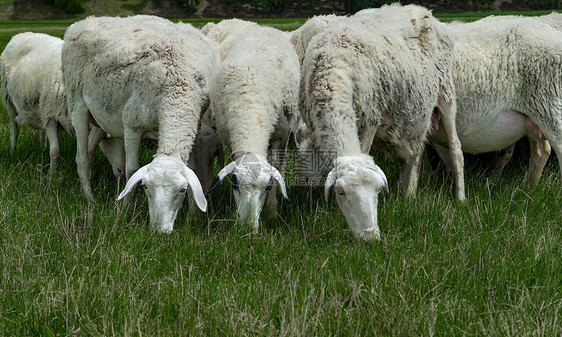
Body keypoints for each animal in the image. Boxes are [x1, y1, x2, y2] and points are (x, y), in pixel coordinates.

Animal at [0, 31, 124, 176]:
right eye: (107, 139)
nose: (122, 171)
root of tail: (21, 34)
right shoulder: (50, 117)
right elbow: (55, 151)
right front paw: (51, 176)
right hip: (7, 99)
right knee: (14, 129)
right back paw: (12, 151)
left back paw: (42, 147)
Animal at [61, 15, 217, 231]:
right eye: (145, 187)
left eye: (182, 190)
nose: (160, 231)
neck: (176, 91)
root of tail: (81, 23)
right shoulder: (132, 126)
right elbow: (132, 169)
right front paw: (127, 210)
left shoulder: (194, 126)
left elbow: (193, 169)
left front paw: (193, 216)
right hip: (78, 102)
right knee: (82, 157)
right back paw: (89, 198)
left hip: (102, 116)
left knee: (89, 149)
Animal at [201, 21, 298, 231]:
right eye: (235, 185)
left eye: (267, 187)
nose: (247, 227)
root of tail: (263, 27)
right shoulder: (230, 139)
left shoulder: (279, 137)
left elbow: (275, 167)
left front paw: (272, 210)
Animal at [302, 2, 464, 239]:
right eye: (341, 191)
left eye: (378, 190)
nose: (370, 237)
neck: (332, 73)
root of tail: (423, 10)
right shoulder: (315, 127)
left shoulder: (370, 117)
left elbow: (363, 149)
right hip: (417, 114)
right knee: (415, 153)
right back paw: (408, 195)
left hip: (446, 93)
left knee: (455, 149)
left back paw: (460, 198)